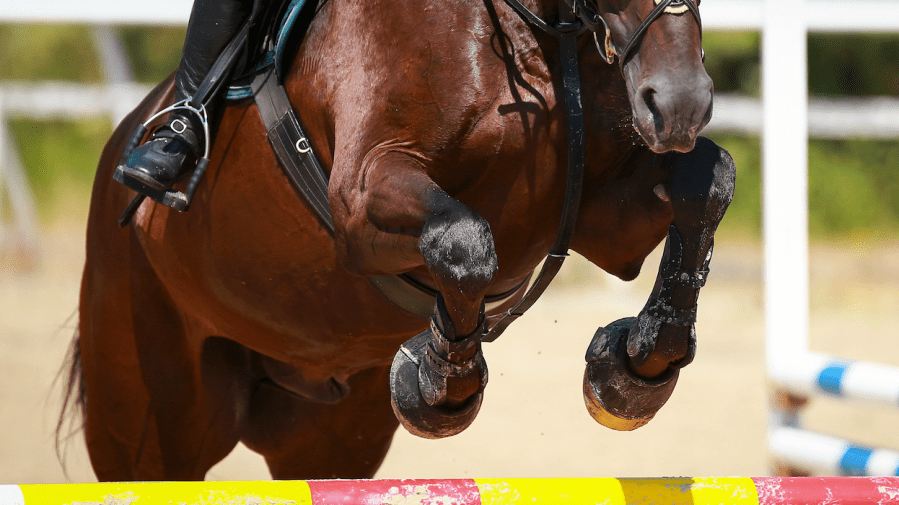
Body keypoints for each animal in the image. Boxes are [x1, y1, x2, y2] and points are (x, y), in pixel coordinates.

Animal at [64, 0, 735, 481]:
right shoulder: (363, 197)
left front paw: (634, 369)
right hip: (147, 421)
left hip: (325, 437)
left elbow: (709, 180)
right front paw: (437, 382)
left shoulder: (602, 216)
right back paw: (166, 150)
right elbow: (464, 242)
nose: (680, 102)